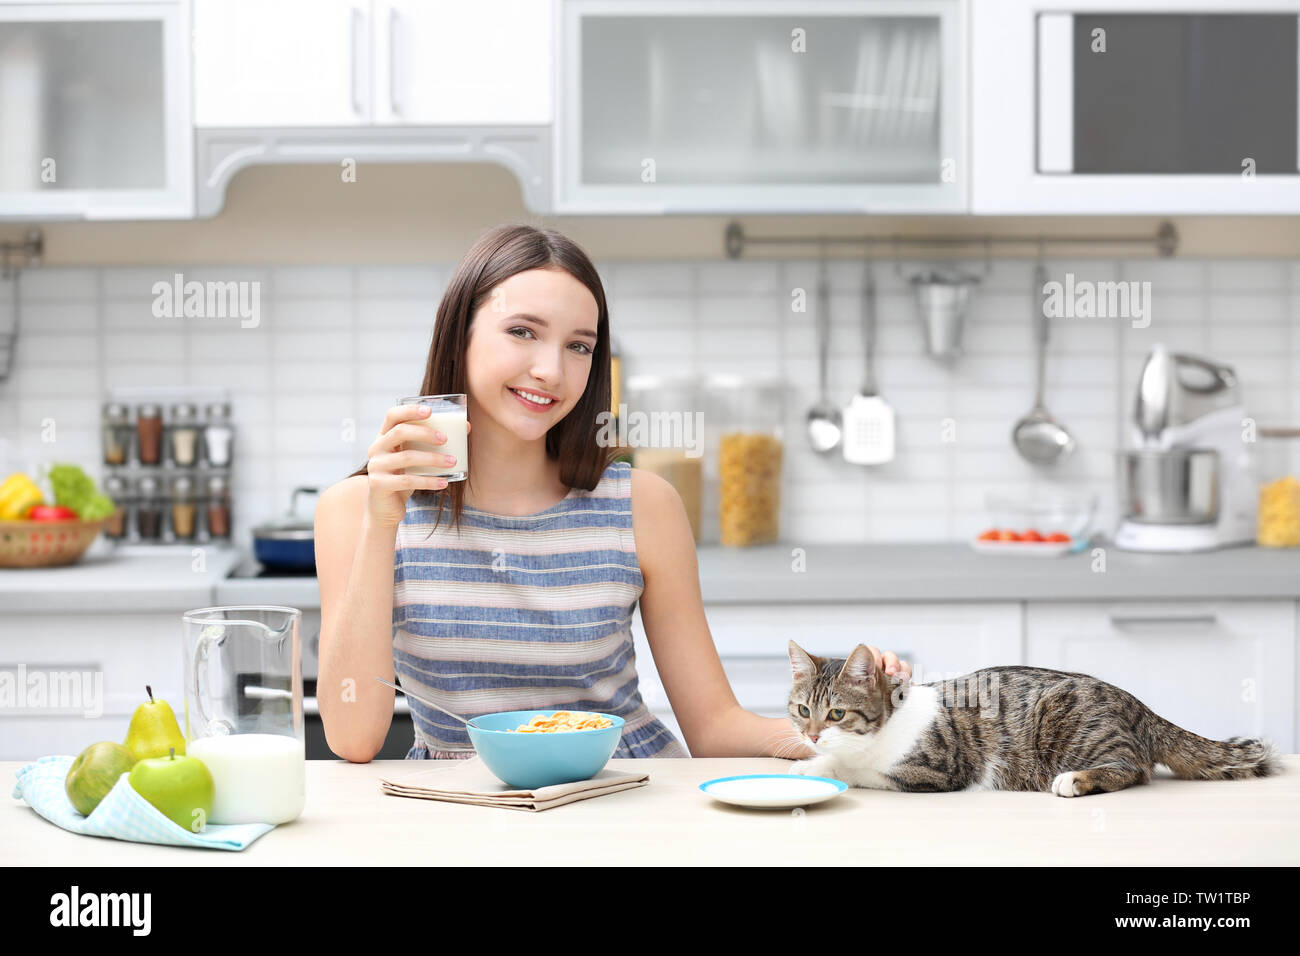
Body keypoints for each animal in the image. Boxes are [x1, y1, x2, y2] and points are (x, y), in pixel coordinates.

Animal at [785, 642, 1274, 801]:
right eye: (802, 710)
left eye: (836, 713)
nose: (812, 736)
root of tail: (1137, 705)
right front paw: (809, 762)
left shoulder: (936, 769)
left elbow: (860, 770)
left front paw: (822, 767)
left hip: (1072, 721)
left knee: (1135, 768)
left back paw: (1077, 779)